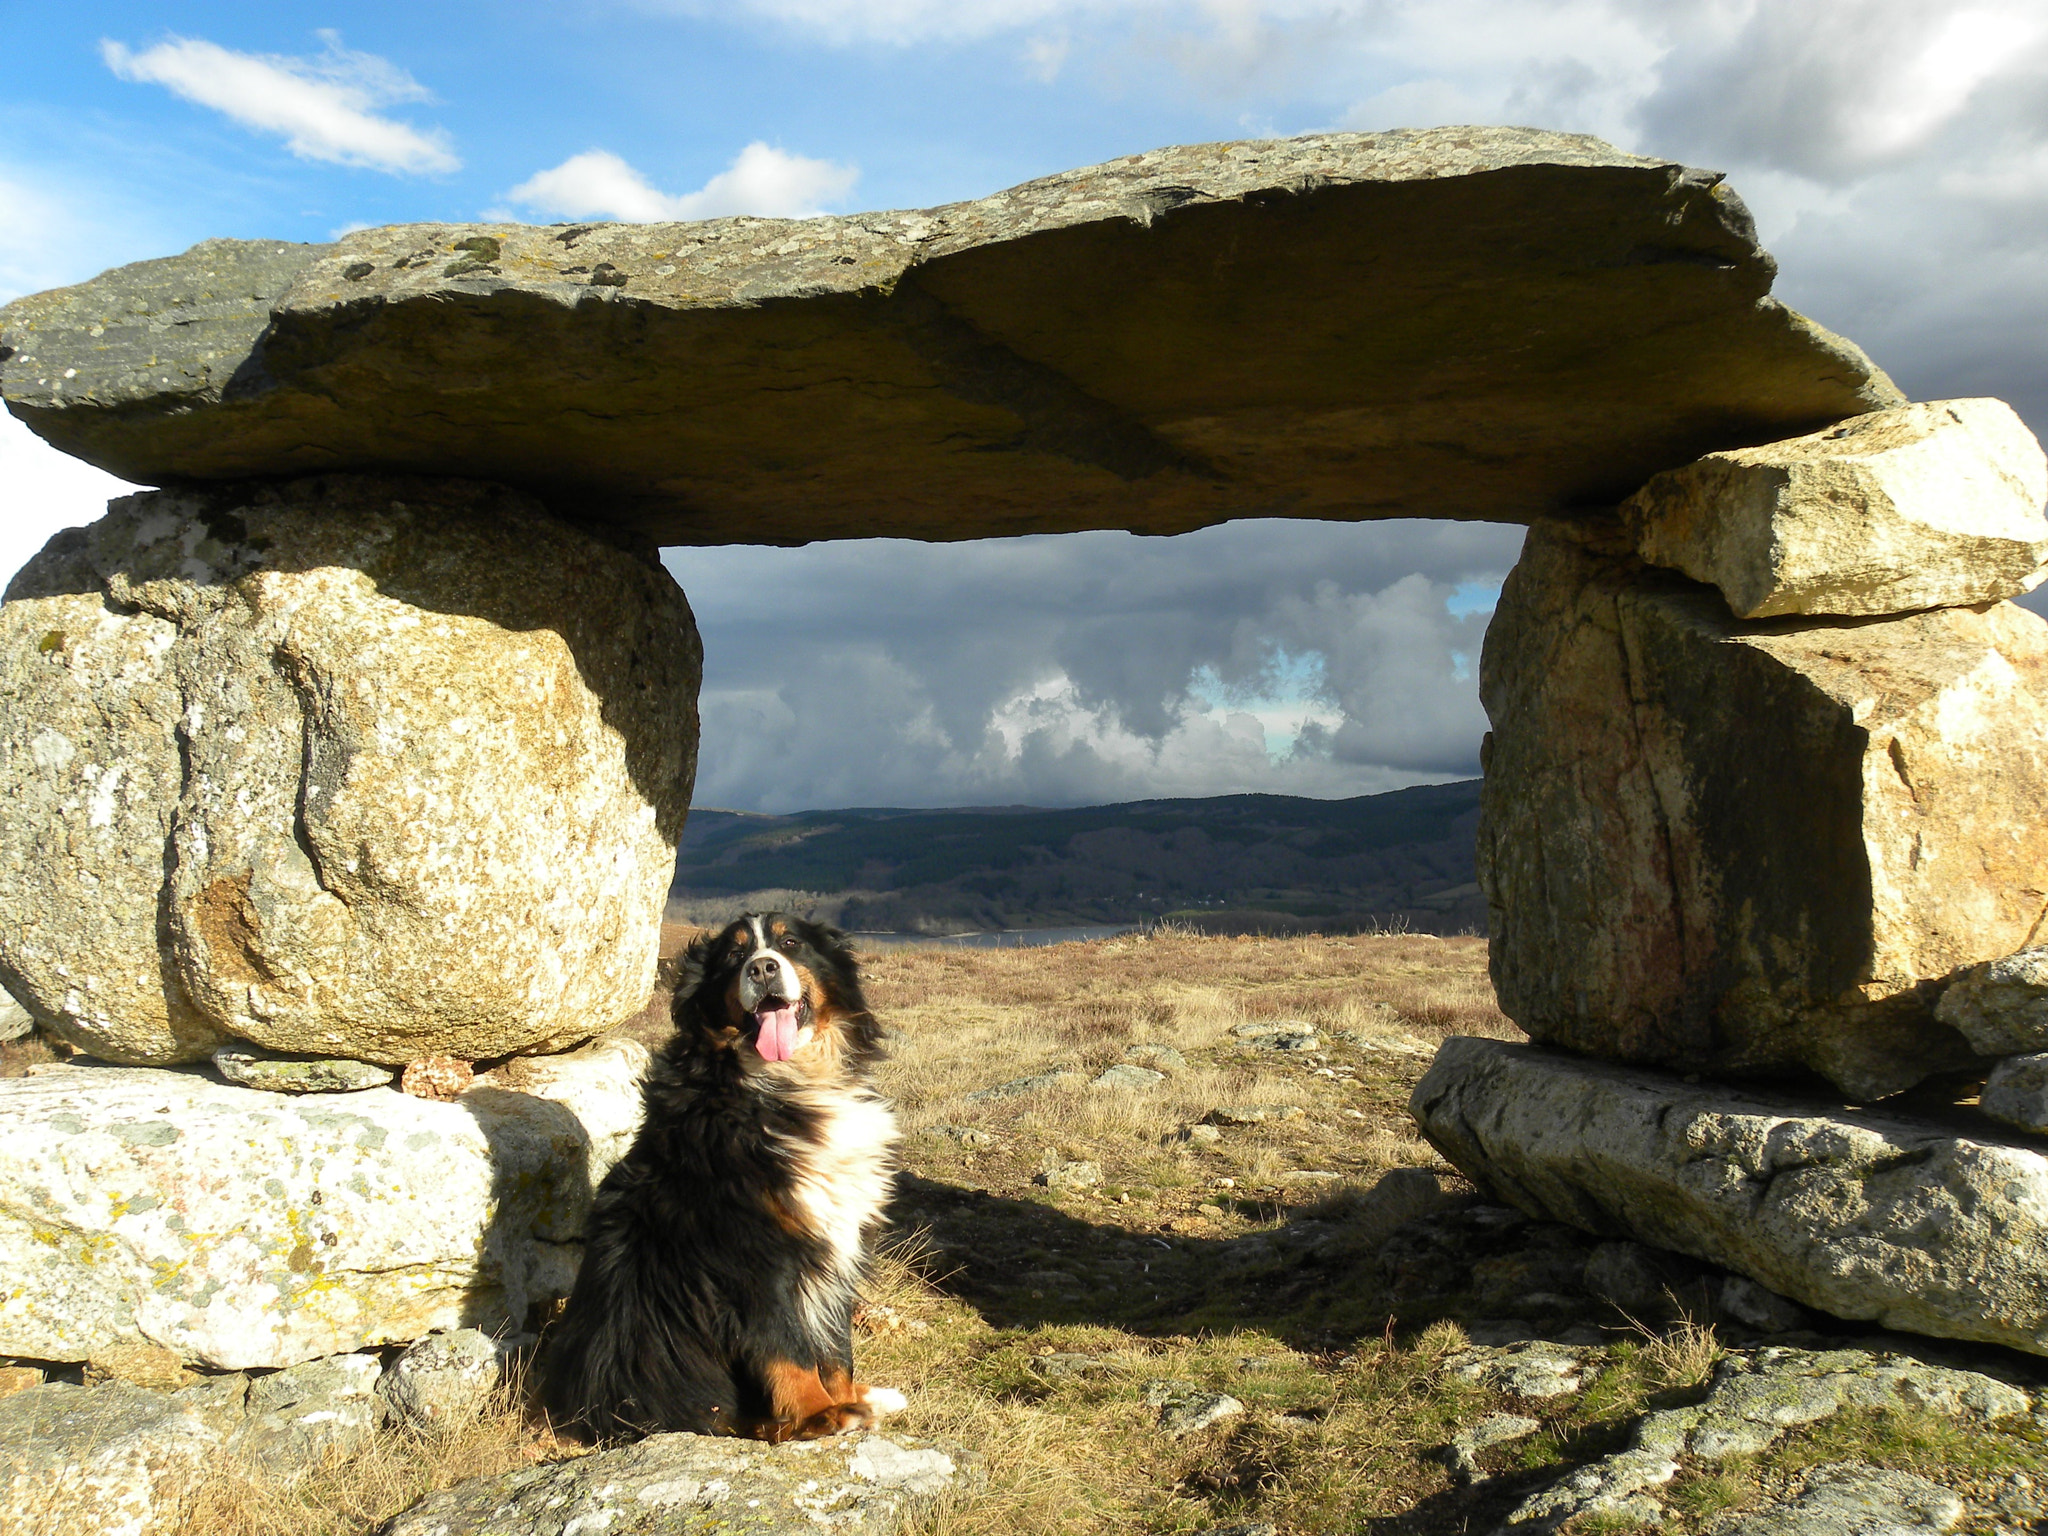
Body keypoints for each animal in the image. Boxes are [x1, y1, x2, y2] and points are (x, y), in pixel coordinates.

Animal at [540, 913, 901, 1441]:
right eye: (734, 955)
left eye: (790, 942)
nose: (763, 968)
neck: (787, 1084)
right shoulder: (755, 1250)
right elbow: (786, 1344)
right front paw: (822, 1413)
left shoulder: (839, 1237)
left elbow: (836, 1346)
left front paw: (850, 1397)